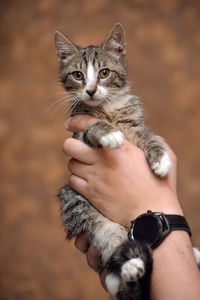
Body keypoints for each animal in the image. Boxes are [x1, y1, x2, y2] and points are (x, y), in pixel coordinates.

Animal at [54, 24, 199, 300]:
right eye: (78, 75)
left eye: (104, 73)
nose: (90, 90)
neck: (108, 109)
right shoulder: (79, 136)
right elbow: (93, 129)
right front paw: (110, 134)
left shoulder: (135, 123)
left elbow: (148, 136)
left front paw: (161, 159)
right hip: (91, 218)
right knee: (115, 258)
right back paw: (130, 268)